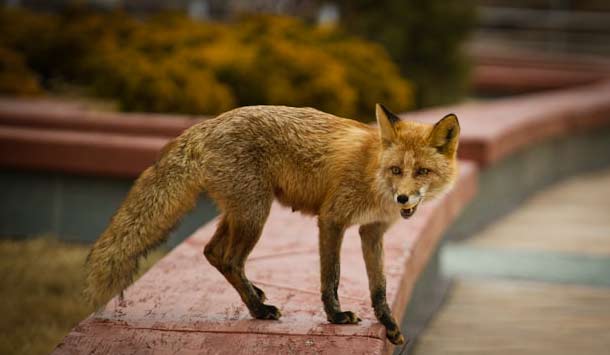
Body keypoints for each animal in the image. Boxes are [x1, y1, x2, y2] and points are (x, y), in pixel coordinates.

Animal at [84, 104, 456, 346]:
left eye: (422, 171)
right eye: (397, 170)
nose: (403, 199)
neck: (373, 174)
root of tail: (207, 124)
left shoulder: (372, 230)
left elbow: (379, 287)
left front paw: (388, 324)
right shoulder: (332, 220)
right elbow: (331, 277)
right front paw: (335, 318)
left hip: (241, 213)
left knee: (212, 252)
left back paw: (255, 297)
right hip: (255, 215)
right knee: (230, 259)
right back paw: (260, 309)